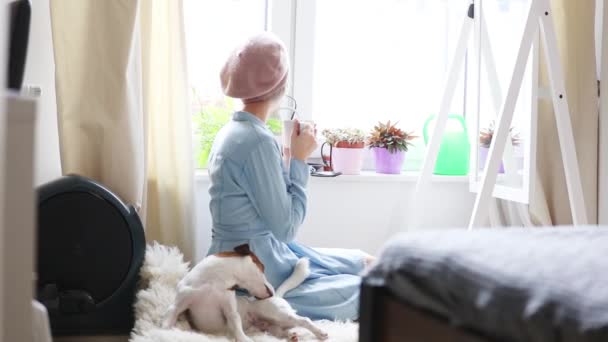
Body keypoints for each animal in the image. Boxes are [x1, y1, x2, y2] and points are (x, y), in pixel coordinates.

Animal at [162, 243, 328, 342]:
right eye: (263, 267)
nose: (270, 293)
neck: (213, 283)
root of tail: (278, 297)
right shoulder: (178, 305)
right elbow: (169, 317)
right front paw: (165, 331)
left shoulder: (230, 309)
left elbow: (236, 325)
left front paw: (244, 339)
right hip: (273, 327)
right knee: (282, 331)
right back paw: (291, 336)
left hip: (279, 314)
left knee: (304, 320)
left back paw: (320, 333)